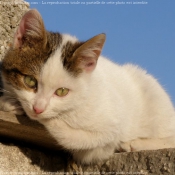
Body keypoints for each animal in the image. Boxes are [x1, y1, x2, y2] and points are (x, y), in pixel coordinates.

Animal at [0, 8, 175, 164]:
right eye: (30, 81)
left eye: (62, 91)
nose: (38, 109)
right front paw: (9, 103)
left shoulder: (110, 128)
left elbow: (79, 137)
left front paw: (50, 120)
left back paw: (136, 143)